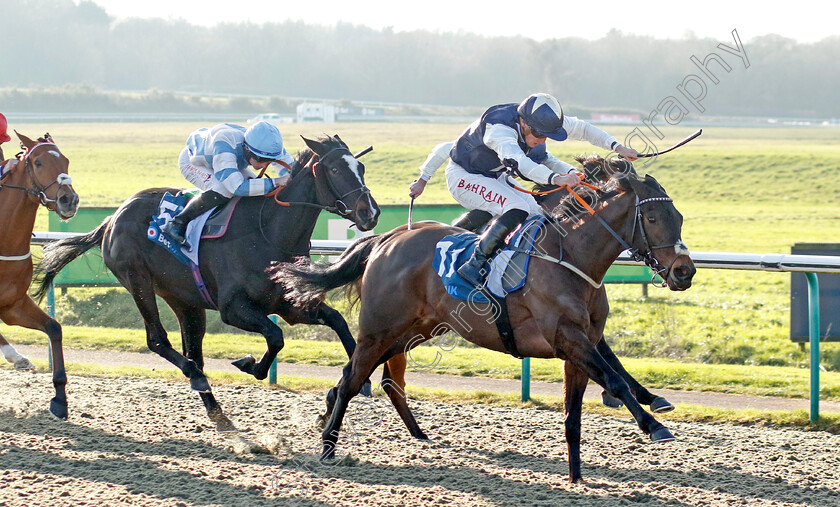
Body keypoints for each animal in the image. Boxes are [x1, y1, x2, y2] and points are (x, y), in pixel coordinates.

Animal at [0, 132, 79, 420]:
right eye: (38, 162)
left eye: (66, 160)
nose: (69, 200)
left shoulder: (13, 305)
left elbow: (54, 328)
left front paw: (60, 399)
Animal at [35, 134, 378, 428]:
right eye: (335, 169)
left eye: (361, 168)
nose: (370, 212)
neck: (268, 232)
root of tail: (112, 218)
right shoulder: (233, 308)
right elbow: (275, 336)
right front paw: (249, 363)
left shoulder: (290, 305)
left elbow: (337, 323)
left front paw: (356, 385)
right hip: (138, 281)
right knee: (159, 341)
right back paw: (197, 378)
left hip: (183, 299)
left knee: (193, 350)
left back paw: (217, 412)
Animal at [270, 160, 696, 484]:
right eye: (652, 216)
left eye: (678, 216)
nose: (684, 271)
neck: (569, 257)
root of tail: (386, 239)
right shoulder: (569, 339)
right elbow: (615, 380)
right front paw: (654, 425)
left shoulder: (579, 347)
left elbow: (574, 415)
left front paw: (576, 478)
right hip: (379, 328)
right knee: (353, 380)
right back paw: (328, 447)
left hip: (414, 329)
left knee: (375, 378)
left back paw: (409, 432)